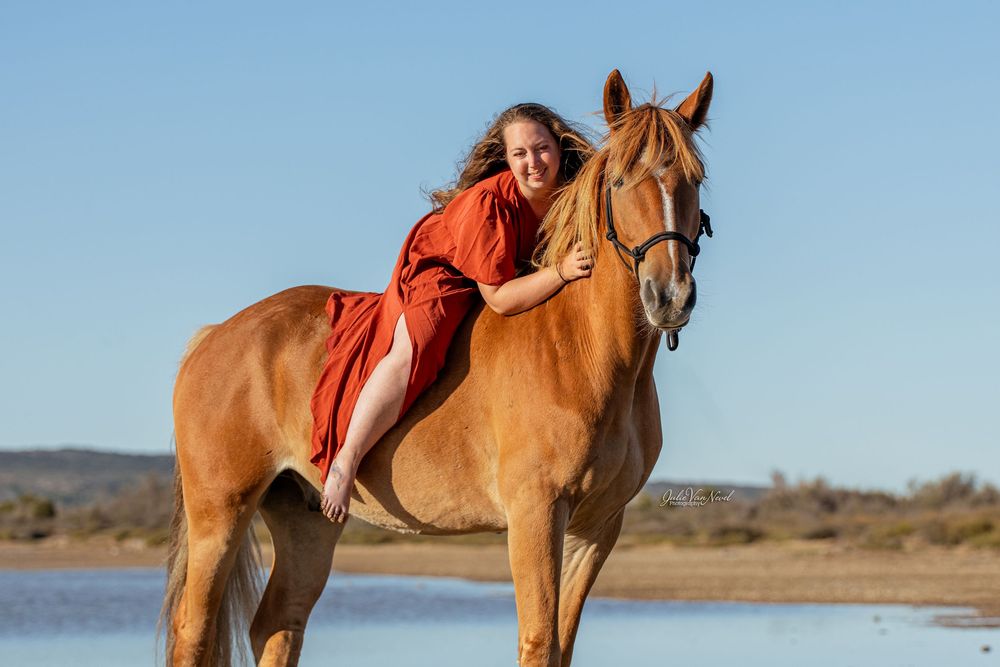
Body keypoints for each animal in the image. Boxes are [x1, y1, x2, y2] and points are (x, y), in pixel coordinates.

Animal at [160, 68, 714, 667]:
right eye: (618, 179)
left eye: (695, 178)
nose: (670, 296)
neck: (583, 351)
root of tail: (215, 335)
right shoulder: (536, 514)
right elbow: (539, 641)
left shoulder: (597, 528)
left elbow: (561, 646)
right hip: (219, 515)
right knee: (194, 631)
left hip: (304, 519)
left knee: (278, 626)